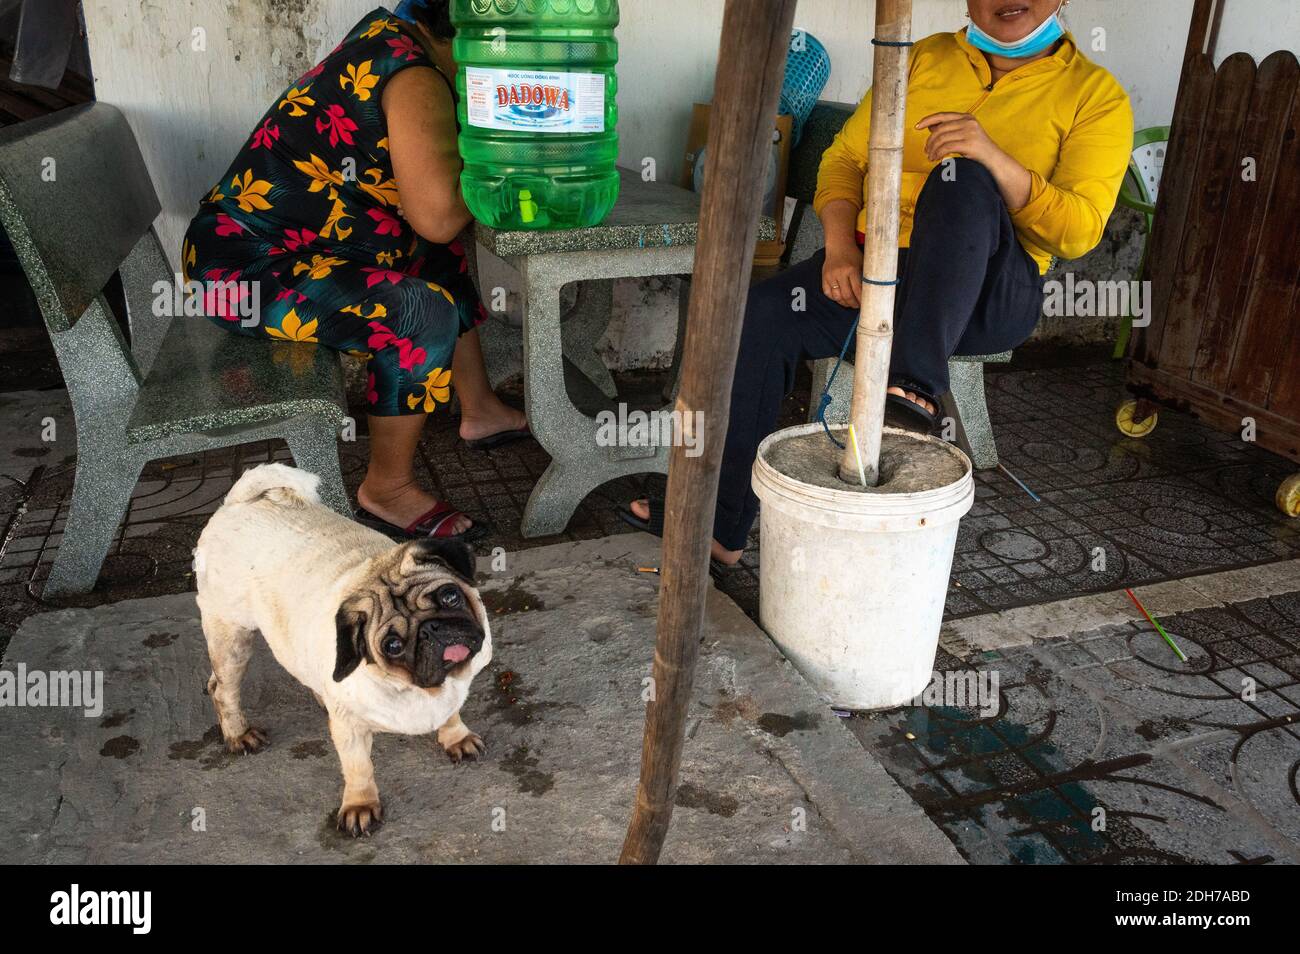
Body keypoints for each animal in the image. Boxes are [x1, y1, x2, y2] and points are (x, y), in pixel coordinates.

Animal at [192, 462, 491, 837]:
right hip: (231, 635)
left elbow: (451, 712)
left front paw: (455, 737)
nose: (431, 630)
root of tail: (238, 501)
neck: (420, 688)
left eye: (450, 596)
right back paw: (238, 734)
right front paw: (360, 805)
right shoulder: (350, 729)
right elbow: (358, 766)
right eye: (392, 645)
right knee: (222, 689)